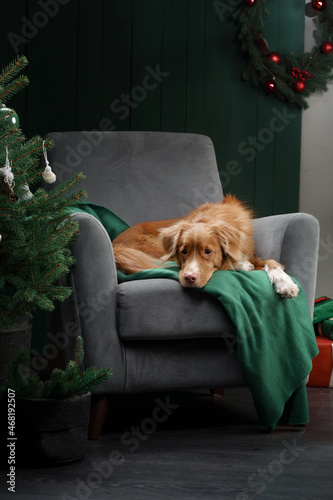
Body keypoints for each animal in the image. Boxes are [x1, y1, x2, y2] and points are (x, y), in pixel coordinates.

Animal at [113, 194, 300, 296]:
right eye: (184, 251)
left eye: (208, 251)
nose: (189, 278)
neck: (208, 219)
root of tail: (115, 244)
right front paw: (242, 265)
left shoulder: (250, 254)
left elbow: (271, 262)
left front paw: (286, 283)